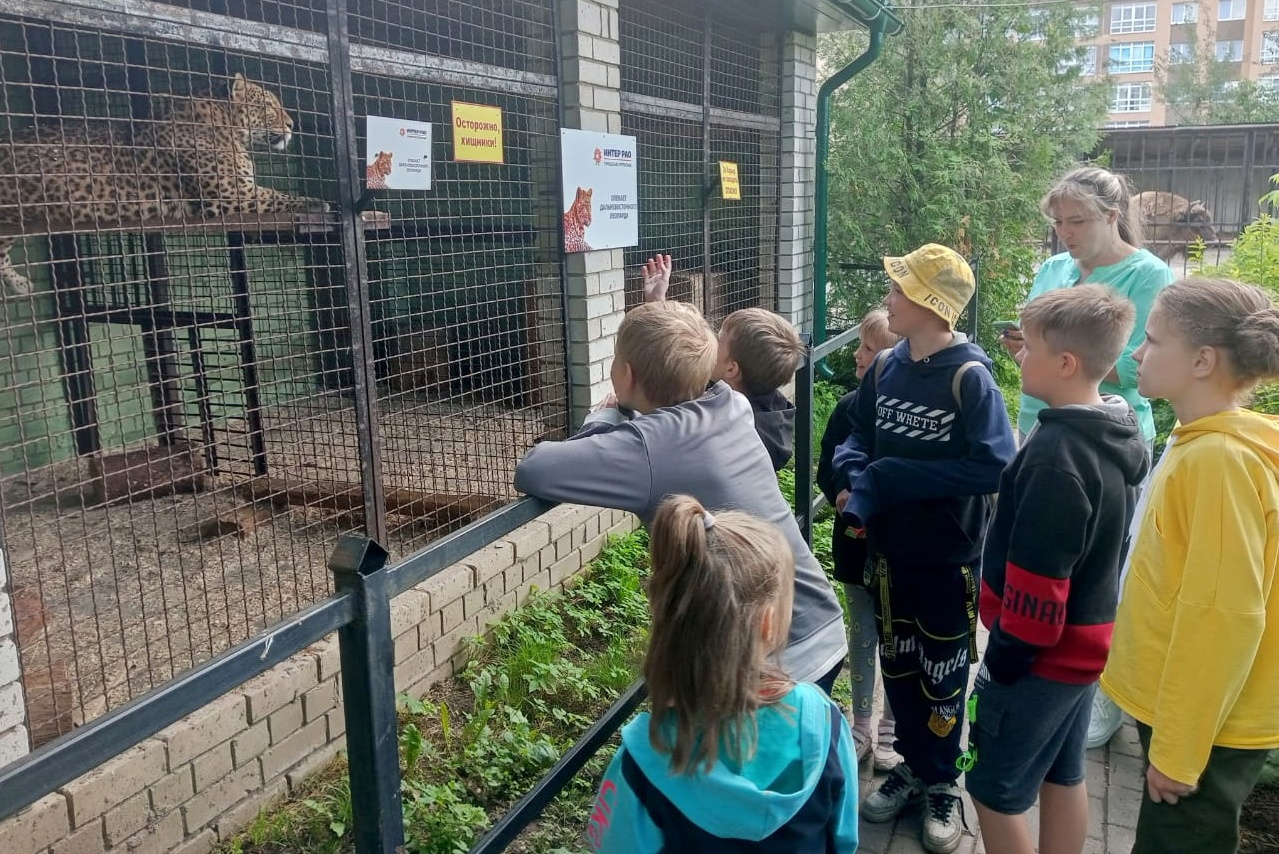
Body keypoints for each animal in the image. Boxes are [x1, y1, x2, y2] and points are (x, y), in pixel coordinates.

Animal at [1, 71, 329, 296]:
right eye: (268, 106)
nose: (292, 125)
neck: (227, 127)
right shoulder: (231, 195)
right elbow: (279, 196)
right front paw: (318, 202)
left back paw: (20, 285)